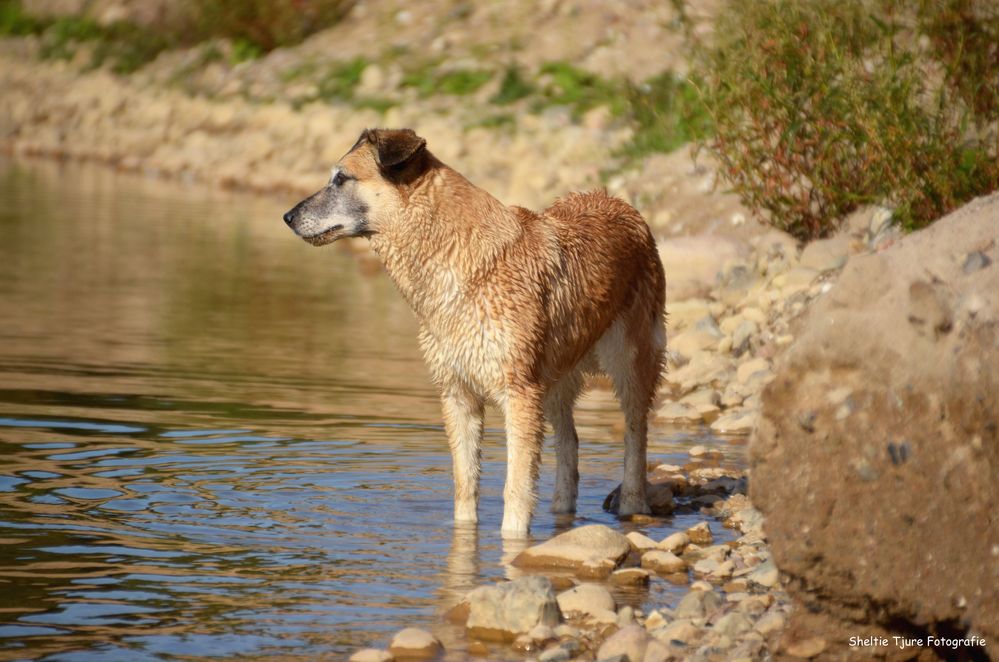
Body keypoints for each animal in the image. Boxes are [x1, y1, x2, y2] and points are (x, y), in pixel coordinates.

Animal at [286, 130, 668, 540]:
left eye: (341, 178)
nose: (288, 217)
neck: (455, 256)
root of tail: (622, 204)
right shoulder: (459, 395)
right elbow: (464, 483)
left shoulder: (518, 394)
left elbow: (516, 488)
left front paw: (514, 545)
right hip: (554, 377)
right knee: (570, 440)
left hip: (631, 360)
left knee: (635, 434)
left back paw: (632, 505)